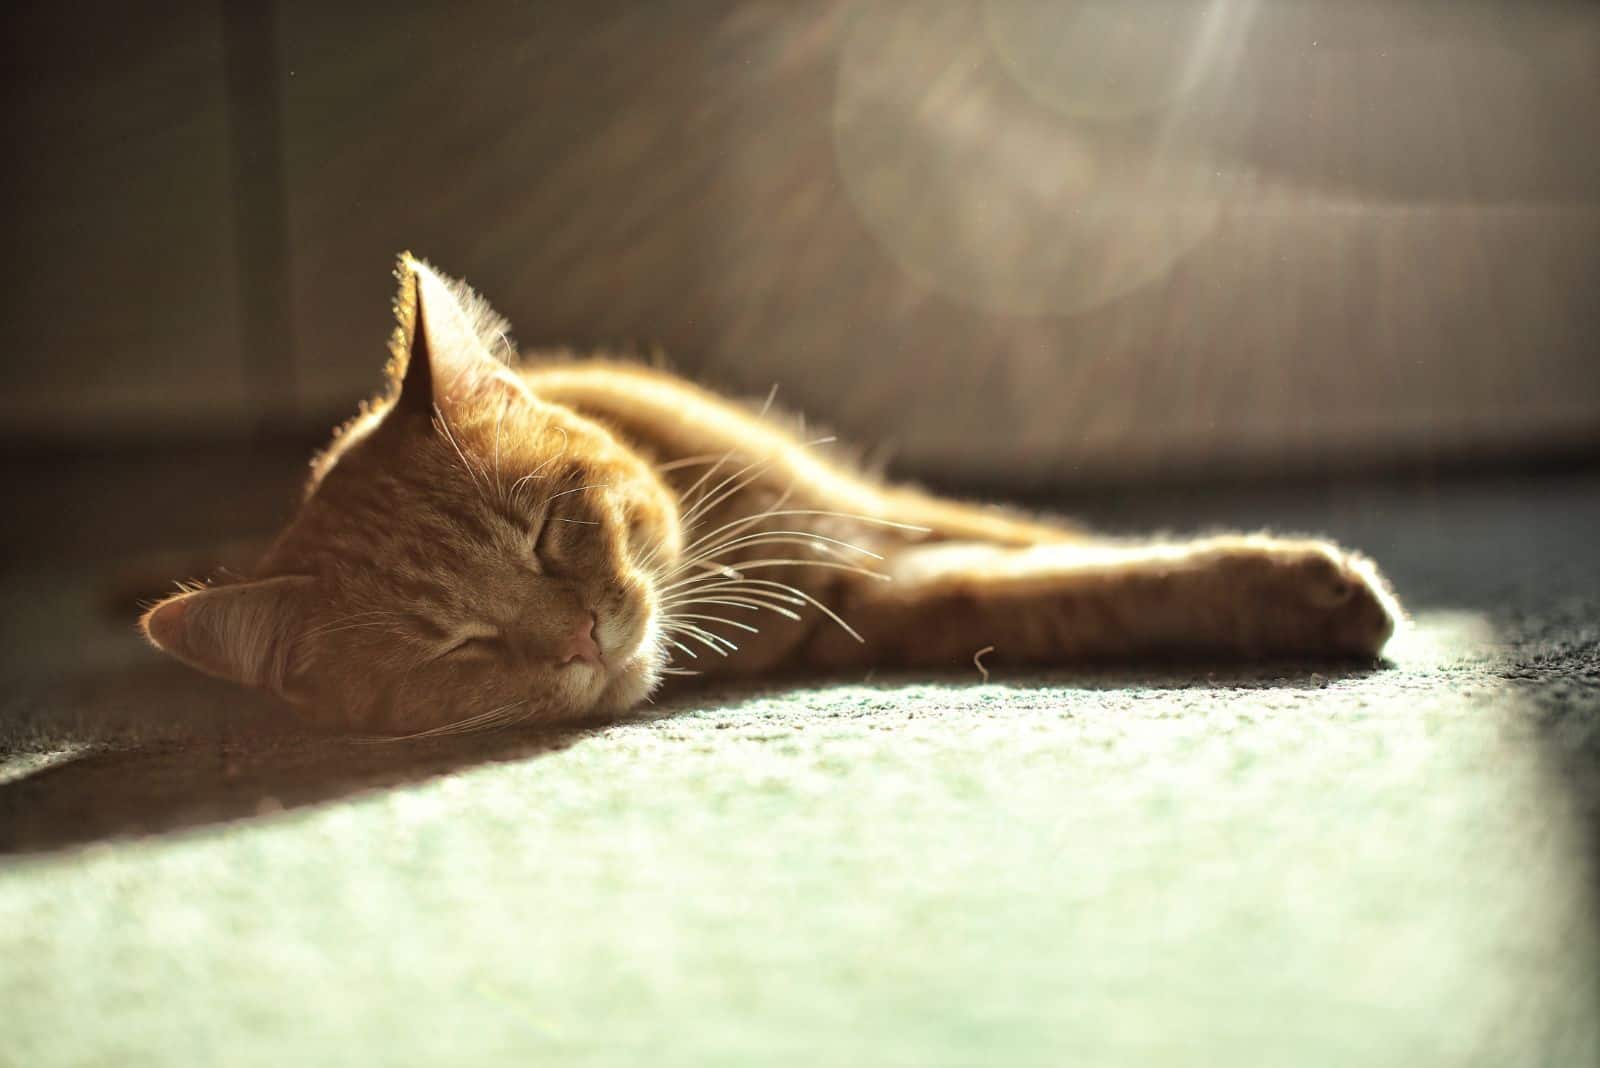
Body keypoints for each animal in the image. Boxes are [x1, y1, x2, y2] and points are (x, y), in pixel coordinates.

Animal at [144, 255, 1408, 735]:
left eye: (550, 532)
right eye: (457, 649)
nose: (582, 636)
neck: (727, 558)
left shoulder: (881, 513)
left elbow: (1062, 542)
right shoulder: (892, 598)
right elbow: (1083, 589)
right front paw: (1295, 590)